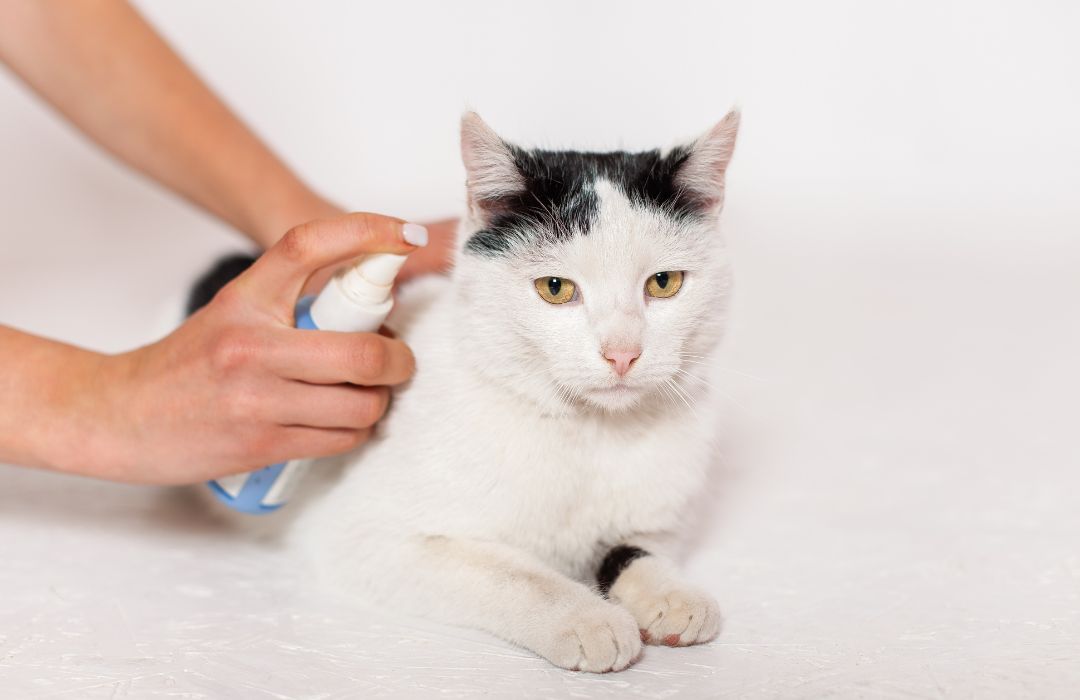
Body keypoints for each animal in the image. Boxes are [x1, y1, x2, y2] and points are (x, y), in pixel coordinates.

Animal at [190, 110, 738, 674]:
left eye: (664, 283)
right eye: (556, 288)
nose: (622, 353)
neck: (590, 433)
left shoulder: (661, 524)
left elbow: (637, 549)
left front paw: (671, 593)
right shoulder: (364, 535)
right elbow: (512, 574)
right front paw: (586, 618)